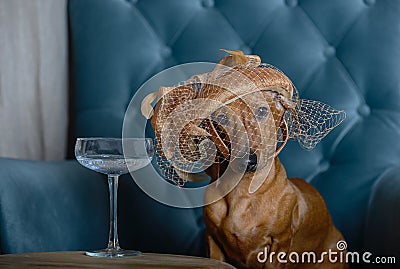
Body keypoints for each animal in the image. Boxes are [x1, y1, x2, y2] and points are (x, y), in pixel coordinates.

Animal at [145, 50, 346, 268]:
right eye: (222, 118)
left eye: (262, 110)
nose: (248, 161)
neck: (242, 192)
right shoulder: (212, 241)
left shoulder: (279, 244)